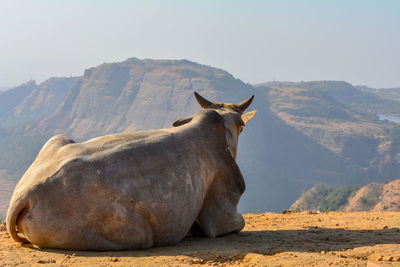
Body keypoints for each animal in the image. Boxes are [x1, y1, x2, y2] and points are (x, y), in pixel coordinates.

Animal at [5, 92, 256, 251]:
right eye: (242, 128)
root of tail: (25, 195)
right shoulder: (221, 215)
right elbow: (237, 223)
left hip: (57, 139)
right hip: (138, 234)